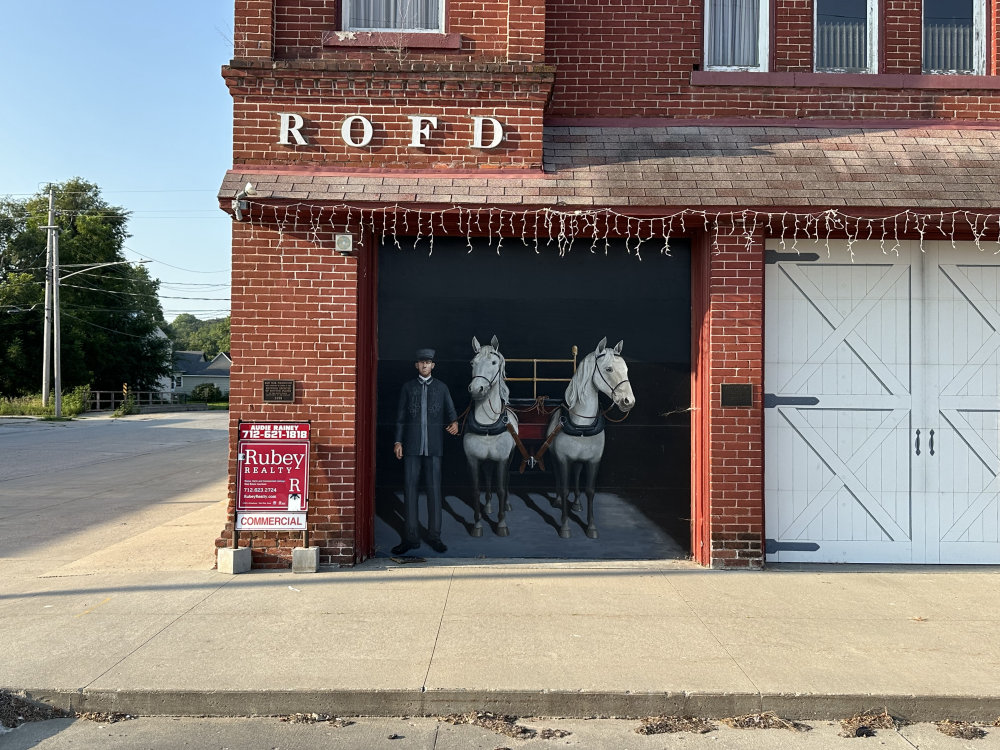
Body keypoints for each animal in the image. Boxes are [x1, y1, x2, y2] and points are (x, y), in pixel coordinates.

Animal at [464, 338, 520, 536]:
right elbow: (475, 491)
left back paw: (508, 505)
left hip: (509, 458)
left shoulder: (502, 459)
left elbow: (501, 489)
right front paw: (477, 525)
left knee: (507, 479)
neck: (487, 425)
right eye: (472, 363)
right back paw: (487, 506)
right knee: (488, 478)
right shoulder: (473, 460)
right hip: (487, 461)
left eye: (494, 362)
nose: (476, 389)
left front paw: (502, 524)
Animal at [544, 338, 636, 536]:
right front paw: (564, 527)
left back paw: (577, 504)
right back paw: (557, 500)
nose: (628, 401)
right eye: (608, 369)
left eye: (626, 369)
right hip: (555, 458)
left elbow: (590, 491)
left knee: (578, 475)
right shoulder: (563, 459)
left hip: (580, 461)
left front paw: (591, 527)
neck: (582, 425)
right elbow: (565, 489)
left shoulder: (594, 460)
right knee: (558, 476)